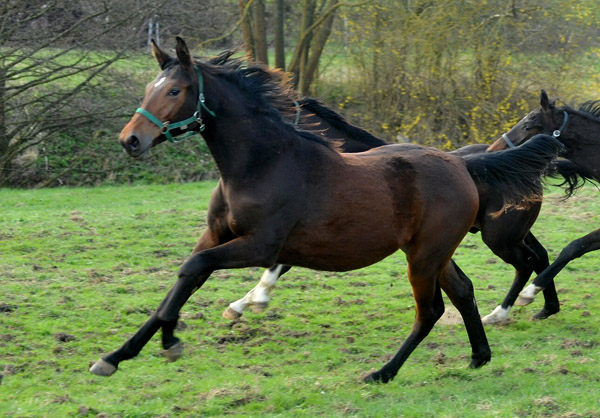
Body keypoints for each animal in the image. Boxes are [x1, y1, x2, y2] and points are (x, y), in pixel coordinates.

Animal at [89, 37, 564, 384]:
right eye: (149, 88)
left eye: (175, 90)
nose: (130, 140)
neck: (262, 164)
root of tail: (464, 164)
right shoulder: (217, 236)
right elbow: (184, 277)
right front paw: (115, 356)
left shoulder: (260, 246)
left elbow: (192, 269)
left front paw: (171, 340)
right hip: (434, 252)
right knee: (464, 290)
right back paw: (479, 356)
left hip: (427, 255)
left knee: (431, 310)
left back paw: (382, 372)